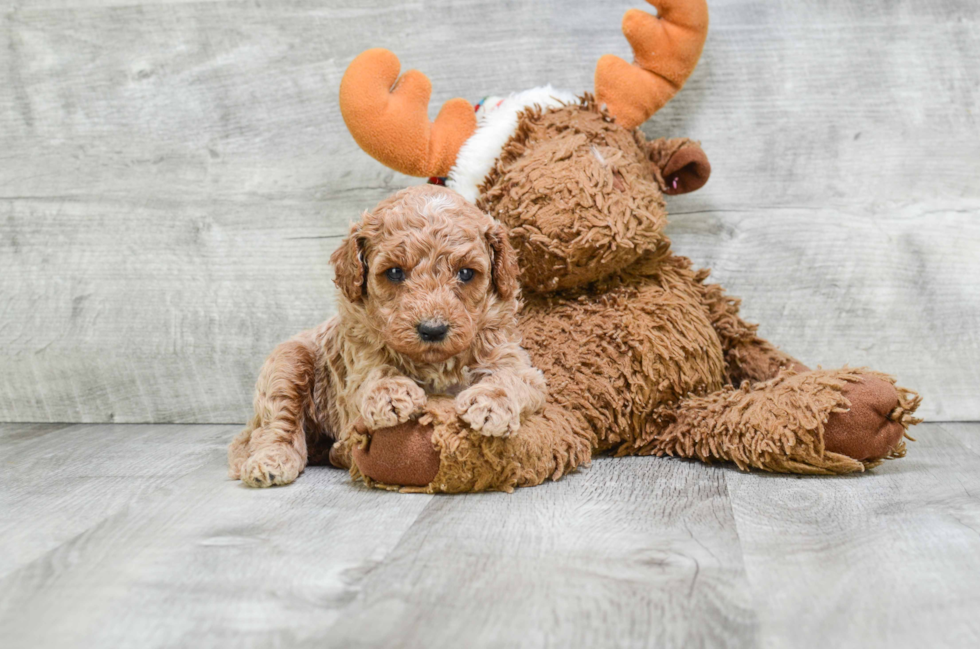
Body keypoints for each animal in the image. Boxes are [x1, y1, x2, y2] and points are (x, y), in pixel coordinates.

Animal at [232, 185, 552, 484]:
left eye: (465, 273)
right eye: (395, 272)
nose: (433, 329)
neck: (435, 364)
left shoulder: (515, 362)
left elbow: (509, 378)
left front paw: (489, 404)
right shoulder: (356, 365)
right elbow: (376, 372)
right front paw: (391, 394)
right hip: (288, 363)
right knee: (273, 425)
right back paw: (272, 460)